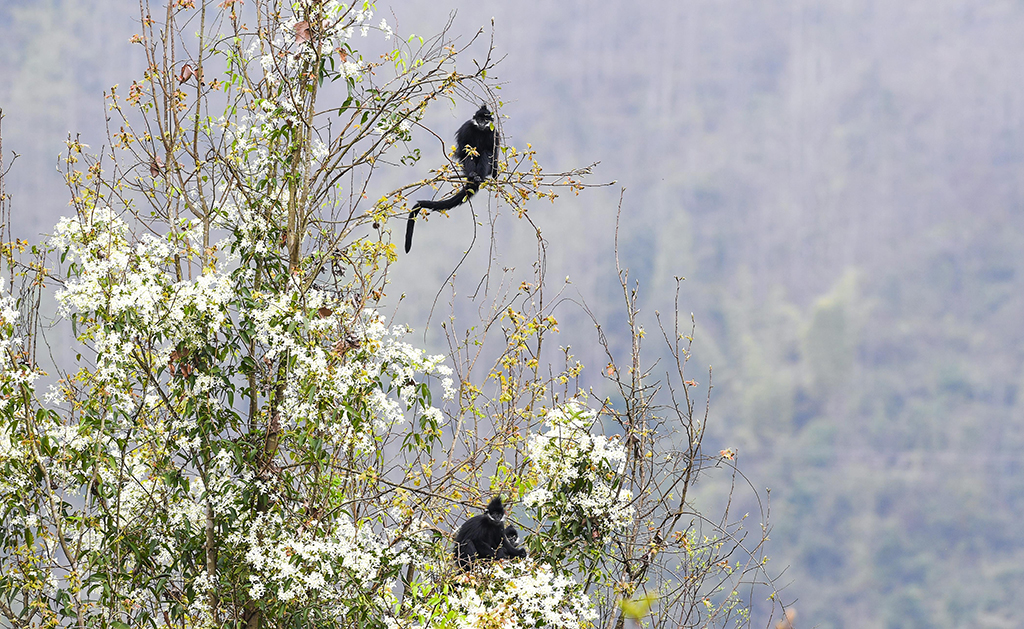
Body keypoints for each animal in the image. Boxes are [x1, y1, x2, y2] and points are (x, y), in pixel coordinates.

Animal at [403, 103, 499, 254]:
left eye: (486, 119)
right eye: (479, 119)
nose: (482, 123)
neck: (480, 130)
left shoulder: (493, 132)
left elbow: (493, 153)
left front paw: (495, 174)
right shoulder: (467, 127)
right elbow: (464, 149)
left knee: (486, 152)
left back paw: (479, 177)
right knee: (469, 153)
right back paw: (473, 175)